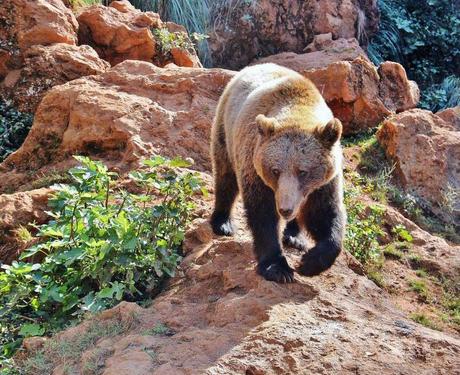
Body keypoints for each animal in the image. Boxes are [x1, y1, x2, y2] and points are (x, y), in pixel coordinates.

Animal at [210, 63, 344, 284]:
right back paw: (223, 223)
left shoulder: (324, 182)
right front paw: (278, 268)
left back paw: (294, 236)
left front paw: (310, 262)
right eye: (275, 170)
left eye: (303, 171)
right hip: (225, 129)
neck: (299, 109)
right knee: (225, 176)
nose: (285, 209)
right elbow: (263, 214)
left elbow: (325, 213)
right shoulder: (255, 167)